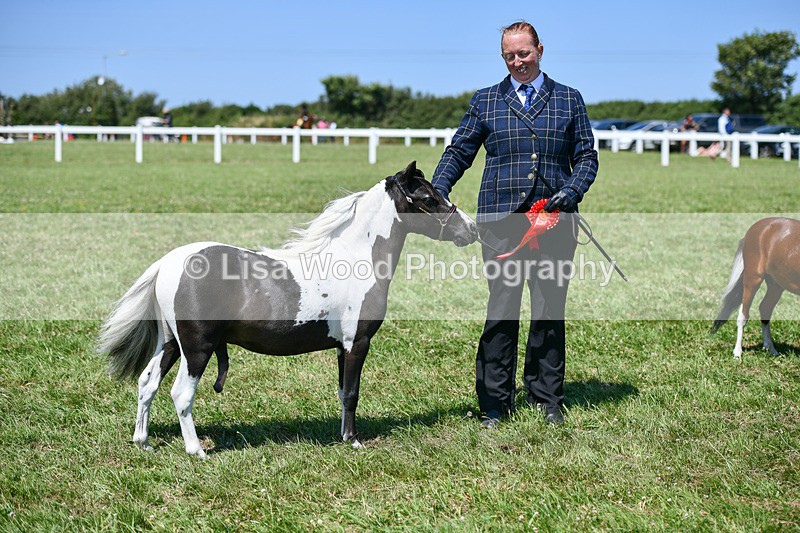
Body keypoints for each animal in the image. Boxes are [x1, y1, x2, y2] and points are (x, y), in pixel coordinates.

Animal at [97, 161, 477, 456]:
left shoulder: (341, 347)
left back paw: (144, 442)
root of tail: (169, 262)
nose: (471, 229)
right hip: (197, 349)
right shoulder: (357, 343)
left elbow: (342, 391)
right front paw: (354, 441)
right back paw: (196, 450)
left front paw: (343, 437)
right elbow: (352, 393)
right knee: (180, 394)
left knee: (147, 384)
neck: (355, 259)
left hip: (171, 344)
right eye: (428, 198)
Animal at [711, 217, 800, 358]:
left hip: (776, 286)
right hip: (752, 279)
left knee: (765, 309)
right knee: (743, 315)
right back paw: (737, 353)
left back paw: (771, 350)